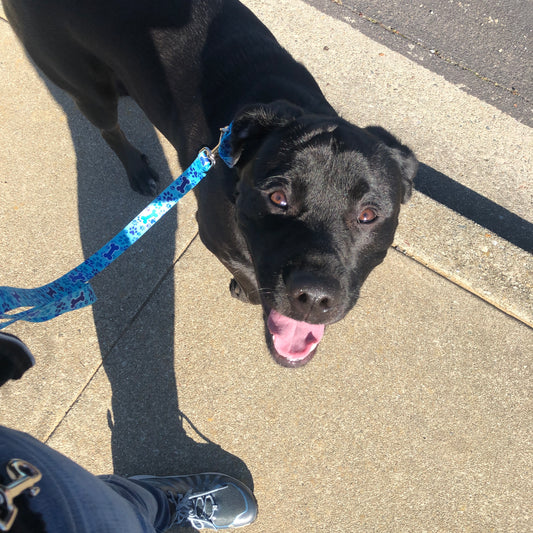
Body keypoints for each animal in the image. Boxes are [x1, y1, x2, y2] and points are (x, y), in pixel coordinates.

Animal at [5, 0, 420, 366]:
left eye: (368, 215)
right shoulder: (216, 236)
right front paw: (246, 291)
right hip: (87, 87)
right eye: (278, 198)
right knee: (109, 129)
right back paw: (138, 171)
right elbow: (249, 278)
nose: (314, 297)